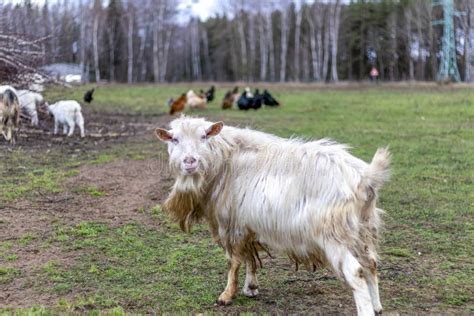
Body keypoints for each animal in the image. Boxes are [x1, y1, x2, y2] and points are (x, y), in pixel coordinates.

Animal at [156, 116, 388, 316]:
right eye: (175, 139)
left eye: (204, 136)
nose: (189, 161)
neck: (226, 159)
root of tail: (364, 178)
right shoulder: (247, 224)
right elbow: (249, 257)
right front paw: (251, 288)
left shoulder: (231, 223)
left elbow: (234, 261)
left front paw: (226, 295)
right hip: (363, 228)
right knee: (371, 263)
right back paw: (377, 306)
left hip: (333, 234)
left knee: (356, 271)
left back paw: (366, 311)